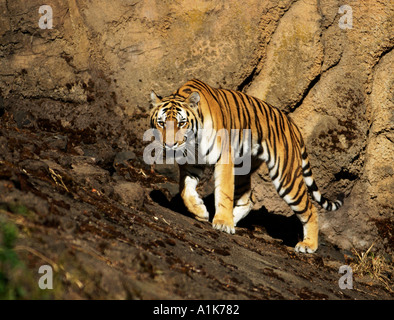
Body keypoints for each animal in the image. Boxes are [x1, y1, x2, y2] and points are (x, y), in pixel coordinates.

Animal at [149, 79, 344, 252]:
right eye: (161, 123)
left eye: (182, 123)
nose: (170, 145)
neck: (193, 142)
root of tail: (293, 125)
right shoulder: (191, 163)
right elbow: (186, 191)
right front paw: (200, 211)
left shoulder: (223, 159)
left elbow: (224, 193)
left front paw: (222, 223)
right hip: (243, 167)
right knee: (248, 199)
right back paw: (233, 220)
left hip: (286, 177)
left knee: (311, 209)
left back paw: (308, 245)